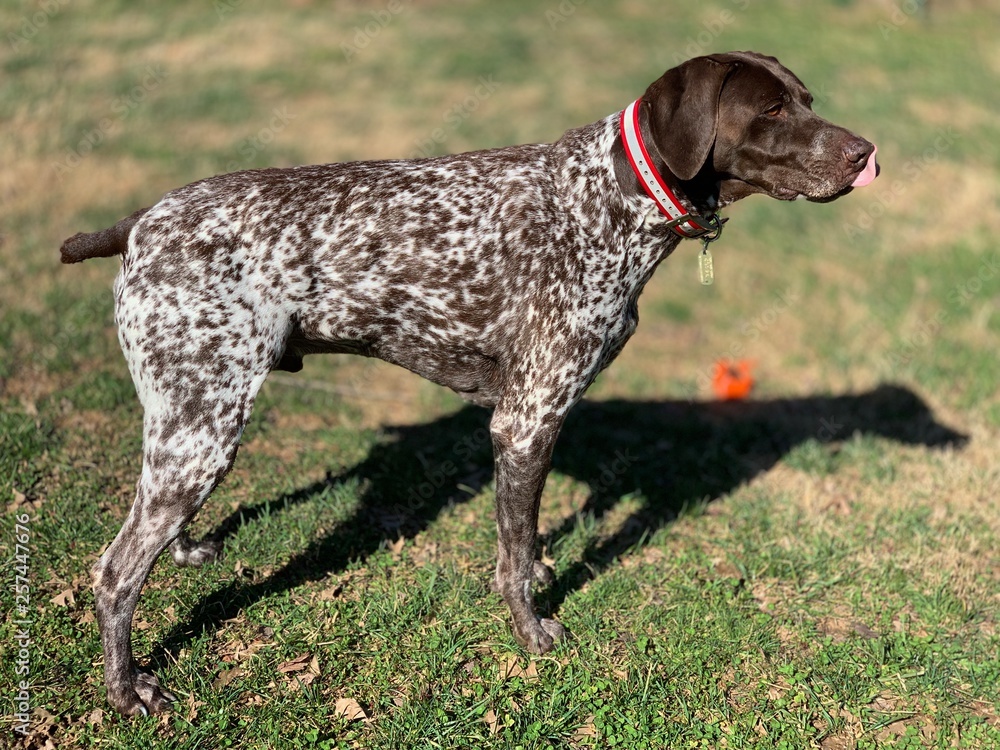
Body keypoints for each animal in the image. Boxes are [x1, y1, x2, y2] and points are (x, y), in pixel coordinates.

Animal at [60, 53, 876, 716]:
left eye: (807, 99)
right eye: (771, 111)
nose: (866, 153)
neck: (610, 199)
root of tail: (142, 222)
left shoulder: (543, 422)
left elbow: (530, 535)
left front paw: (543, 564)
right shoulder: (526, 420)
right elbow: (511, 562)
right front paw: (532, 631)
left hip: (190, 425)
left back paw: (187, 554)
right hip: (203, 429)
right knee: (114, 573)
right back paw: (127, 693)